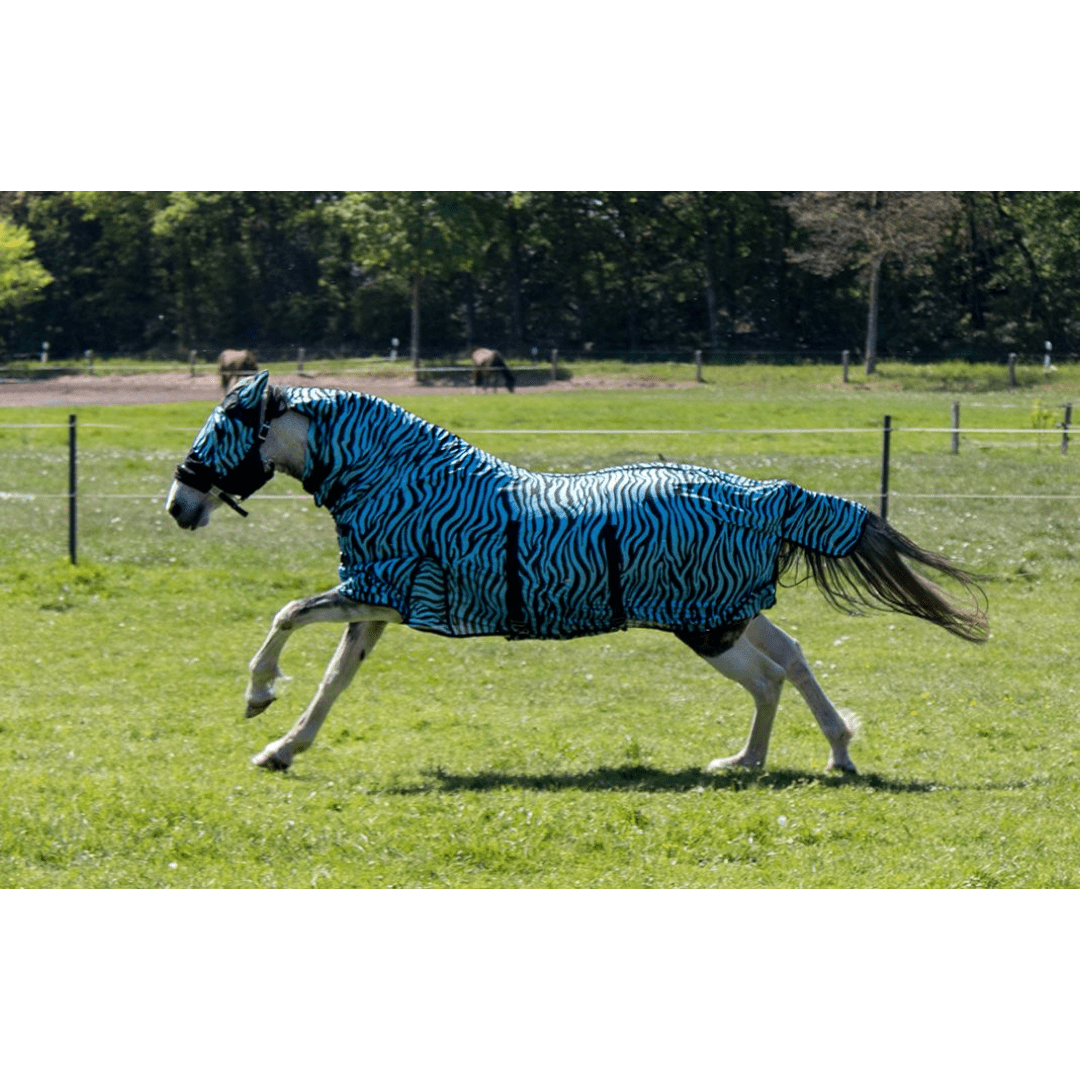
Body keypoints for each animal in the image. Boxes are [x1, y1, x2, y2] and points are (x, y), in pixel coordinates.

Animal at [166, 370, 987, 774]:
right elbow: (334, 682)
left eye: (219, 428)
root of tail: (763, 495)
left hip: (707, 622)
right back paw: (791, 757)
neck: (401, 482)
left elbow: (286, 617)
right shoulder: (375, 604)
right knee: (784, 663)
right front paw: (281, 749)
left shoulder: (383, 595)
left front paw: (258, 699)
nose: (178, 505)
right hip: (723, 614)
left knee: (771, 672)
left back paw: (795, 759)